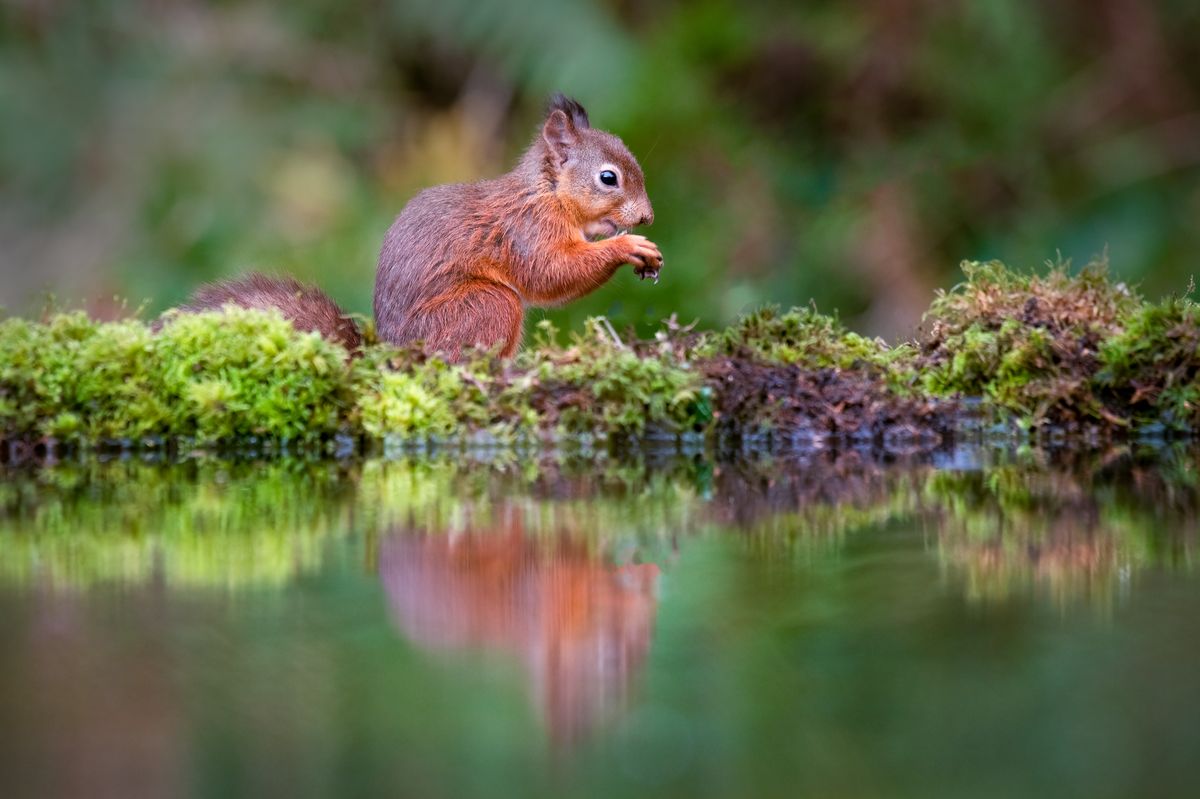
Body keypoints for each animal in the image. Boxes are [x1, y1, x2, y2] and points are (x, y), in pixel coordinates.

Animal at [175, 94, 662, 359]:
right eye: (608, 178)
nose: (647, 217)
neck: (546, 193)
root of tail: (393, 355)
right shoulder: (526, 231)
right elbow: (549, 273)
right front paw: (630, 246)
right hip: (485, 307)